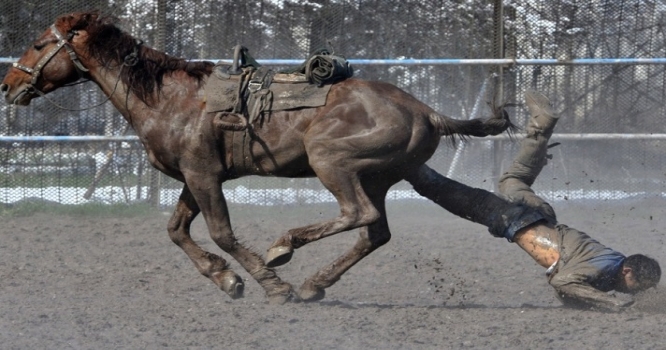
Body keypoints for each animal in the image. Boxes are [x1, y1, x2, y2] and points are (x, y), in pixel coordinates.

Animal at [0, 12, 510, 304]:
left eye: (41, 44)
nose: (8, 85)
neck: (170, 98)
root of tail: (425, 110)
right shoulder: (194, 177)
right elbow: (176, 230)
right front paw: (225, 279)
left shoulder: (204, 175)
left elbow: (222, 233)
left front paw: (268, 283)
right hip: (380, 177)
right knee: (374, 233)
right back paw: (315, 284)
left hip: (332, 162)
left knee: (357, 214)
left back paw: (285, 249)